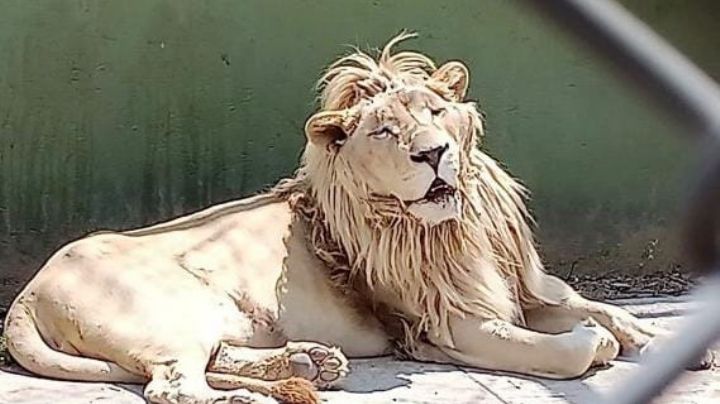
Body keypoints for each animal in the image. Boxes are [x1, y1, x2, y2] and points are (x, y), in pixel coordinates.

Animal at [3, 33, 710, 404]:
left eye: (436, 113)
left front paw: (666, 340)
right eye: (386, 132)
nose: (435, 153)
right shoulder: (448, 327)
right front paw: (601, 347)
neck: (459, 225)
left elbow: (606, 311)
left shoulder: (528, 289)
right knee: (175, 385)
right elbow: (574, 349)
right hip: (174, 311)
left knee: (205, 362)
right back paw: (261, 389)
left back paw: (309, 365)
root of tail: (26, 295)